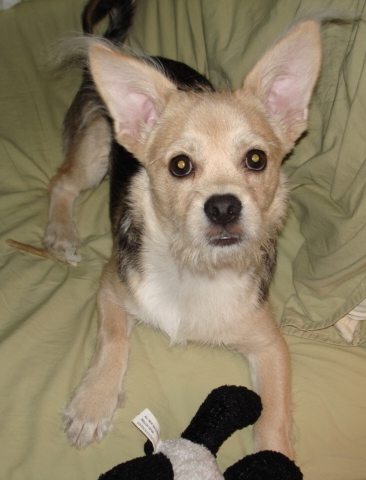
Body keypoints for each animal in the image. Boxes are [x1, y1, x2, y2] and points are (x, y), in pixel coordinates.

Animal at [41, 0, 320, 458]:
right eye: (180, 165)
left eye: (257, 159)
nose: (223, 205)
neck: (195, 268)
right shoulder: (111, 289)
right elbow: (113, 341)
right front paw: (93, 402)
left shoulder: (271, 344)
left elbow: (275, 414)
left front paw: (275, 457)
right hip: (95, 151)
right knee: (61, 182)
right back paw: (61, 232)